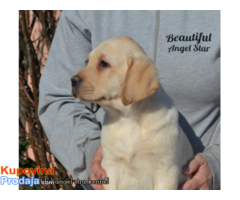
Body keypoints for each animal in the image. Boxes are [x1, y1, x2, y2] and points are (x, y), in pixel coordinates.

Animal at [71, 36, 193, 191]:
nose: (72, 80)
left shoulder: (166, 170)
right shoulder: (111, 167)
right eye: (87, 62)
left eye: (104, 64)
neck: (127, 118)